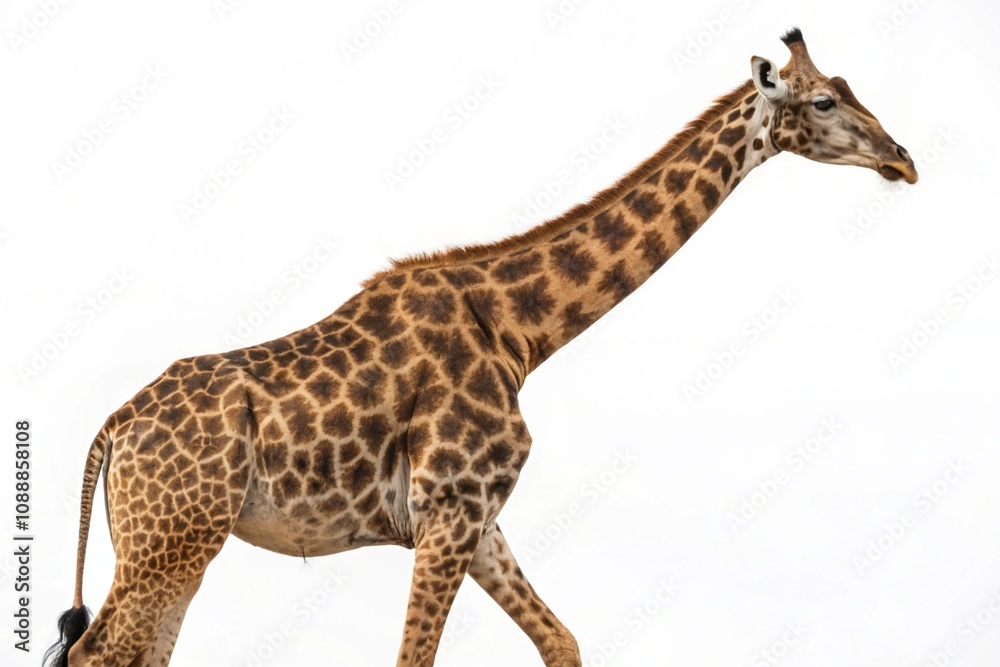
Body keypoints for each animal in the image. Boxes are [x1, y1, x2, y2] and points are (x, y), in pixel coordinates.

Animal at [46, 29, 916, 667]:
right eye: (823, 99)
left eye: (847, 84)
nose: (903, 159)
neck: (520, 330)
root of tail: (111, 430)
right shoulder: (450, 507)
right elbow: (416, 659)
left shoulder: (477, 516)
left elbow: (562, 639)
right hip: (169, 544)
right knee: (97, 654)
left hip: (177, 548)